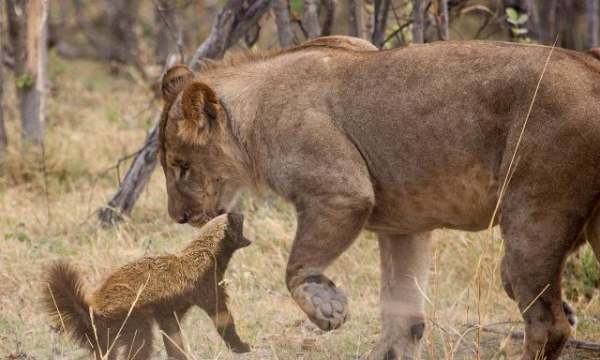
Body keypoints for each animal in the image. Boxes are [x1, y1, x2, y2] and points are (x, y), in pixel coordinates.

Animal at [42, 214, 251, 358]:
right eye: (238, 221)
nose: (241, 212)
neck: (206, 251)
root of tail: (93, 309)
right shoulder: (206, 285)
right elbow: (222, 317)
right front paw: (242, 347)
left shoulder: (168, 311)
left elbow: (172, 335)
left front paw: (179, 355)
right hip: (132, 318)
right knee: (140, 345)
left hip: (105, 336)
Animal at [157, 37, 600, 360]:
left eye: (181, 166)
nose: (178, 217)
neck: (252, 117)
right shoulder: (405, 226)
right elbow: (403, 320)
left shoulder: (342, 191)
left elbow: (296, 267)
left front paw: (327, 307)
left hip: (535, 213)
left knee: (547, 324)